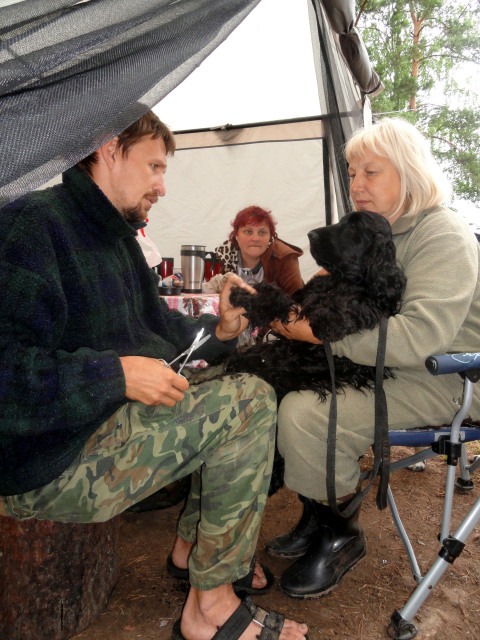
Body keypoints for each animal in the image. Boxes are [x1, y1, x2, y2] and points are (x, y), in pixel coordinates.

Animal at [225, 211, 407, 494]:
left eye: (354, 226)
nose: (311, 234)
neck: (343, 282)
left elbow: (347, 308)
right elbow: (279, 297)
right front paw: (244, 293)